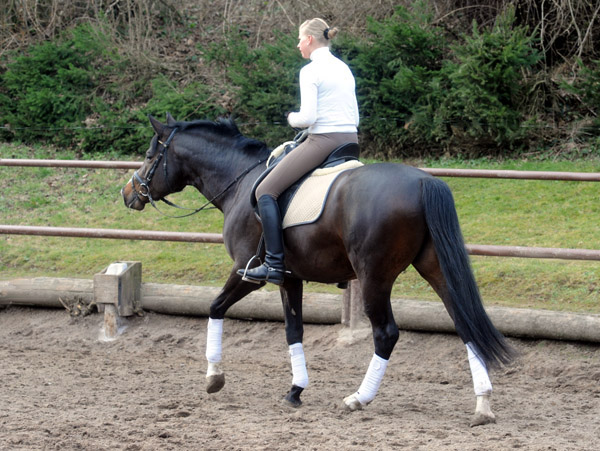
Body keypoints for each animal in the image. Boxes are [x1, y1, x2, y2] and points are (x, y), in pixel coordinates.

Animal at [123, 114, 516, 428]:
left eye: (150, 155)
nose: (129, 193)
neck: (240, 179)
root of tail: (422, 182)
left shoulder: (246, 271)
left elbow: (215, 308)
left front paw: (213, 377)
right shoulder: (290, 277)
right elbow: (293, 330)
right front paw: (295, 390)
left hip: (374, 277)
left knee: (386, 334)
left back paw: (358, 398)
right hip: (434, 268)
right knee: (464, 322)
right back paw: (483, 406)